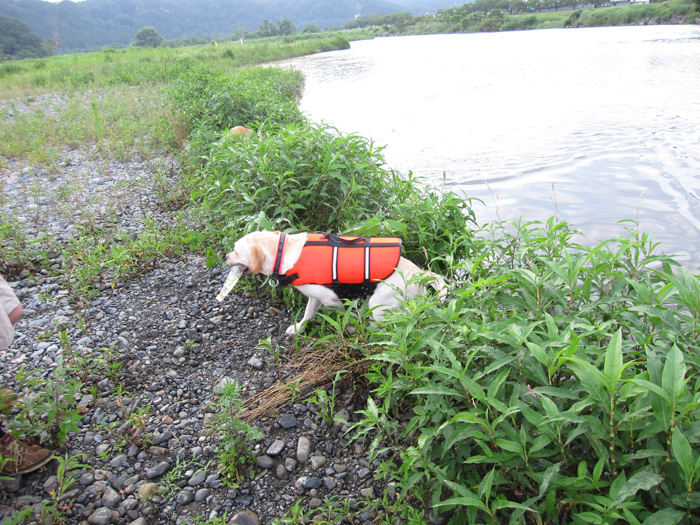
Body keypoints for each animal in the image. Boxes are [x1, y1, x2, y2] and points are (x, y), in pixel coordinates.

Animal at [224, 230, 448, 336]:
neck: (283, 251)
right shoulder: (315, 296)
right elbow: (308, 314)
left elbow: (344, 315)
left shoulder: (331, 298)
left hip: (378, 304)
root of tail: (420, 273)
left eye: (235, 250)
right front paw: (298, 328)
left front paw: (349, 328)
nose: (225, 256)